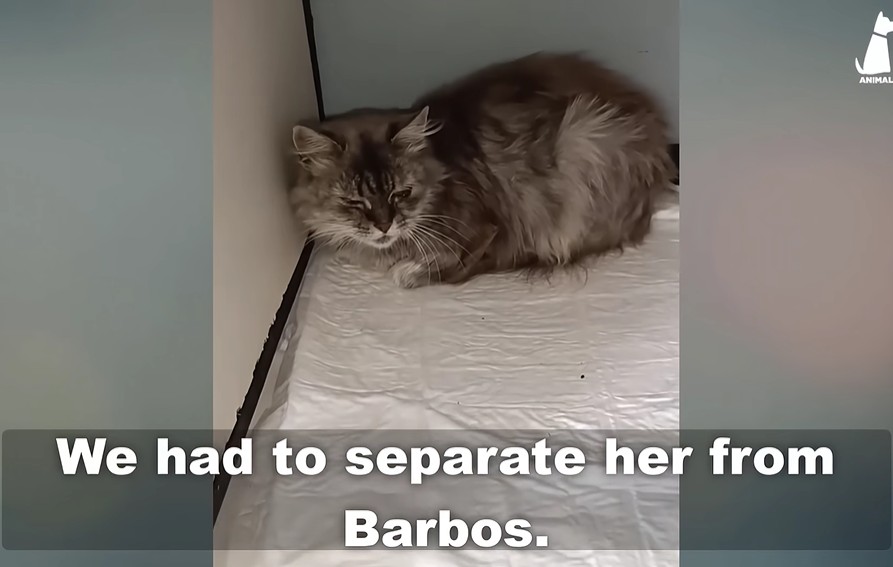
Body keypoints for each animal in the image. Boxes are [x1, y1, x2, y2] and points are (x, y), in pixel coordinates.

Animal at [288, 52, 676, 289]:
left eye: (401, 193)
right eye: (354, 202)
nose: (384, 225)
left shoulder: (489, 231)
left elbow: (453, 267)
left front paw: (410, 272)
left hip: (582, 139)